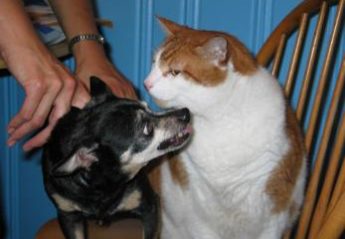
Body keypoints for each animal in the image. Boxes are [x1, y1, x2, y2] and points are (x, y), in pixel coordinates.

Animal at [42, 77, 192, 239]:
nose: (185, 112)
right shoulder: (68, 216)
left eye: (148, 108)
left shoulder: (150, 208)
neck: (102, 187)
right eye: (147, 128)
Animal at [144, 17, 306, 239]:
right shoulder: (198, 209)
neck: (218, 121)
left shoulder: (274, 211)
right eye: (154, 63)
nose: (146, 83)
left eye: (175, 72)